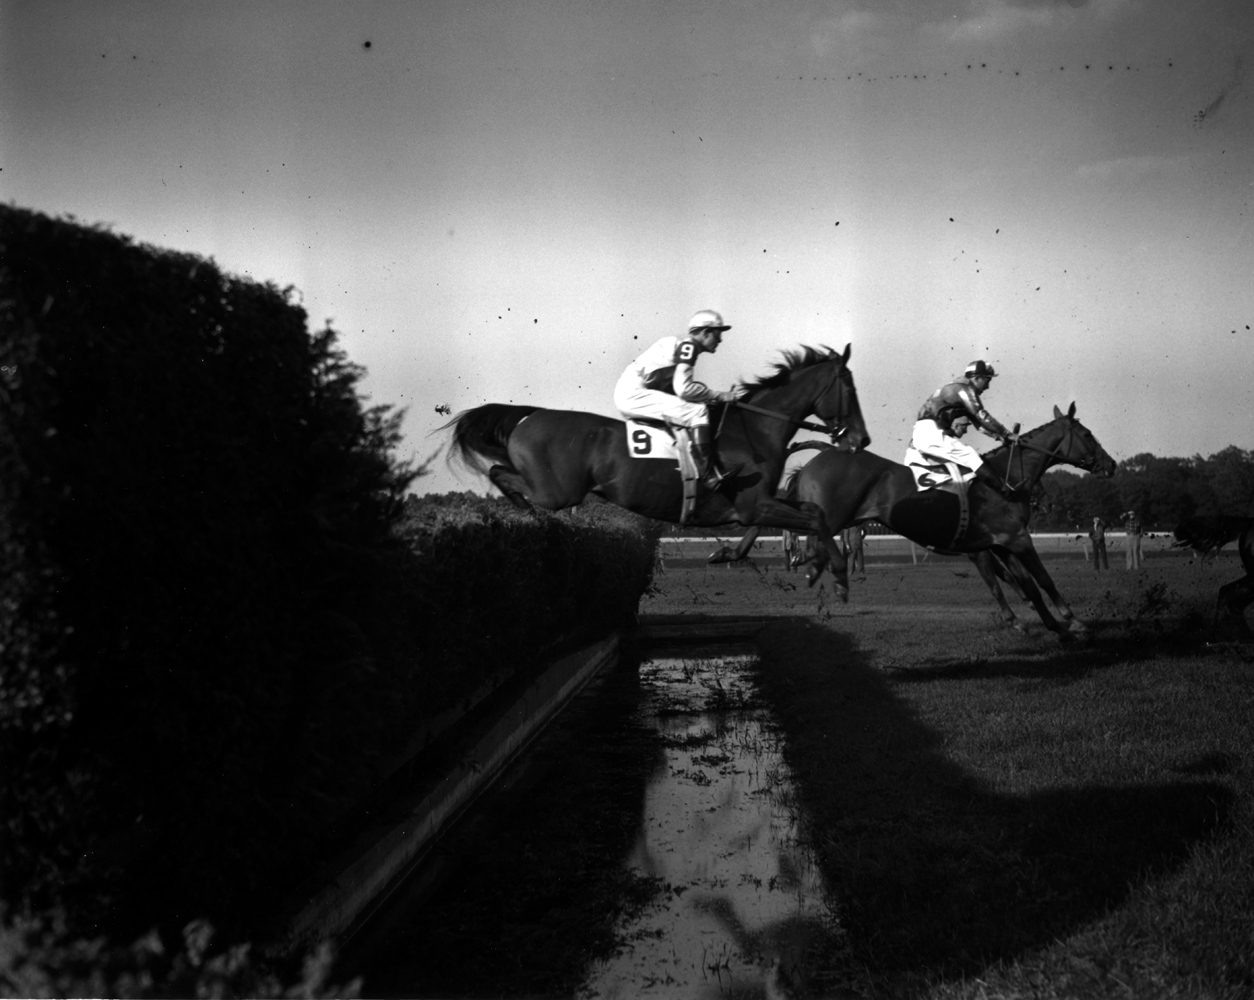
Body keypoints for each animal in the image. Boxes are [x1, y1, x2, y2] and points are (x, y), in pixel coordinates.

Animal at [448, 343, 872, 597]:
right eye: (849, 388)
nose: (862, 440)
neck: (754, 430)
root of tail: (531, 415)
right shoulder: (755, 504)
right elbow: (814, 519)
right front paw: (835, 573)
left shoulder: (759, 505)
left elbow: (813, 513)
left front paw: (731, 554)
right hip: (557, 491)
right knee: (501, 474)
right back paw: (527, 513)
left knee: (502, 473)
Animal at [717, 401, 1118, 634]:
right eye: (1086, 433)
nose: (1111, 464)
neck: (1003, 480)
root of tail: (825, 453)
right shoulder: (1013, 540)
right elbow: (1041, 580)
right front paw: (1072, 620)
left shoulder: (998, 545)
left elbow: (1027, 586)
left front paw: (1050, 624)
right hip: (833, 514)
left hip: (817, 507)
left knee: (774, 511)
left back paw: (736, 552)